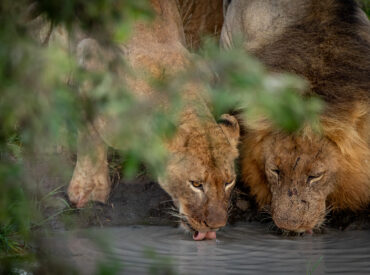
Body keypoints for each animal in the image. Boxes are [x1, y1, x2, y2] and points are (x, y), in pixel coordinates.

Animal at [66, 0, 240, 240]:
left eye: (228, 182)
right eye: (196, 184)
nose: (216, 226)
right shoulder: (90, 54)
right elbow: (90, 132)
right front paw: (88, 190)